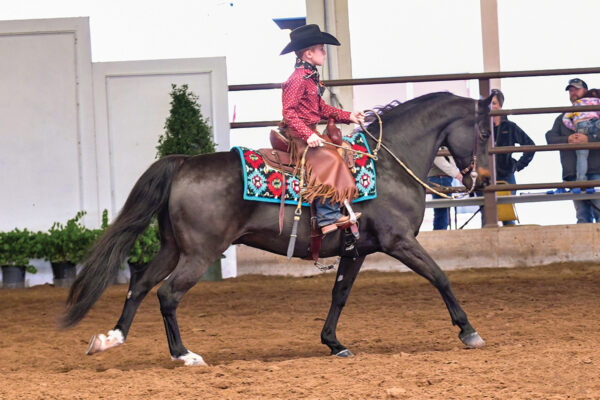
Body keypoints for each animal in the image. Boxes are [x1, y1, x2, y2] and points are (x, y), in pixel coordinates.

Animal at [62, 91, 492, 366]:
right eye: (486, 132)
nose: (481, 180)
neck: (386, 164)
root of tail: (184, 163)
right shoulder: (398, 241)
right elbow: (440, 277)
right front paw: (469, 331)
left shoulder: (357, 250)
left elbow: (339, 295)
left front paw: (333, 343)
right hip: (199, 253)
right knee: (167, 294)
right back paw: (184, 355)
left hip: (172, 248)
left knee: (139, 285)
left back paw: (110, 339)